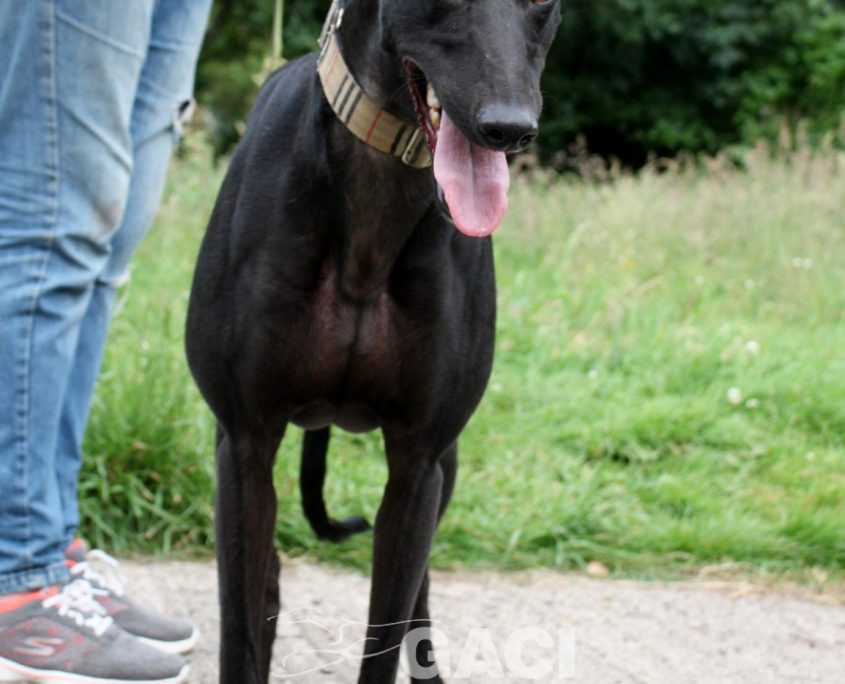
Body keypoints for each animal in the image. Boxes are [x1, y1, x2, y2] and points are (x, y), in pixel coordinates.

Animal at [185, 0, 560, 681]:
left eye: (542, 3)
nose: (509, 128)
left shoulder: (419, 462)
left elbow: (389, 627)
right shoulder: (244, 442)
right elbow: (241, 632)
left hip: (446, 468)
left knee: (420, 595)